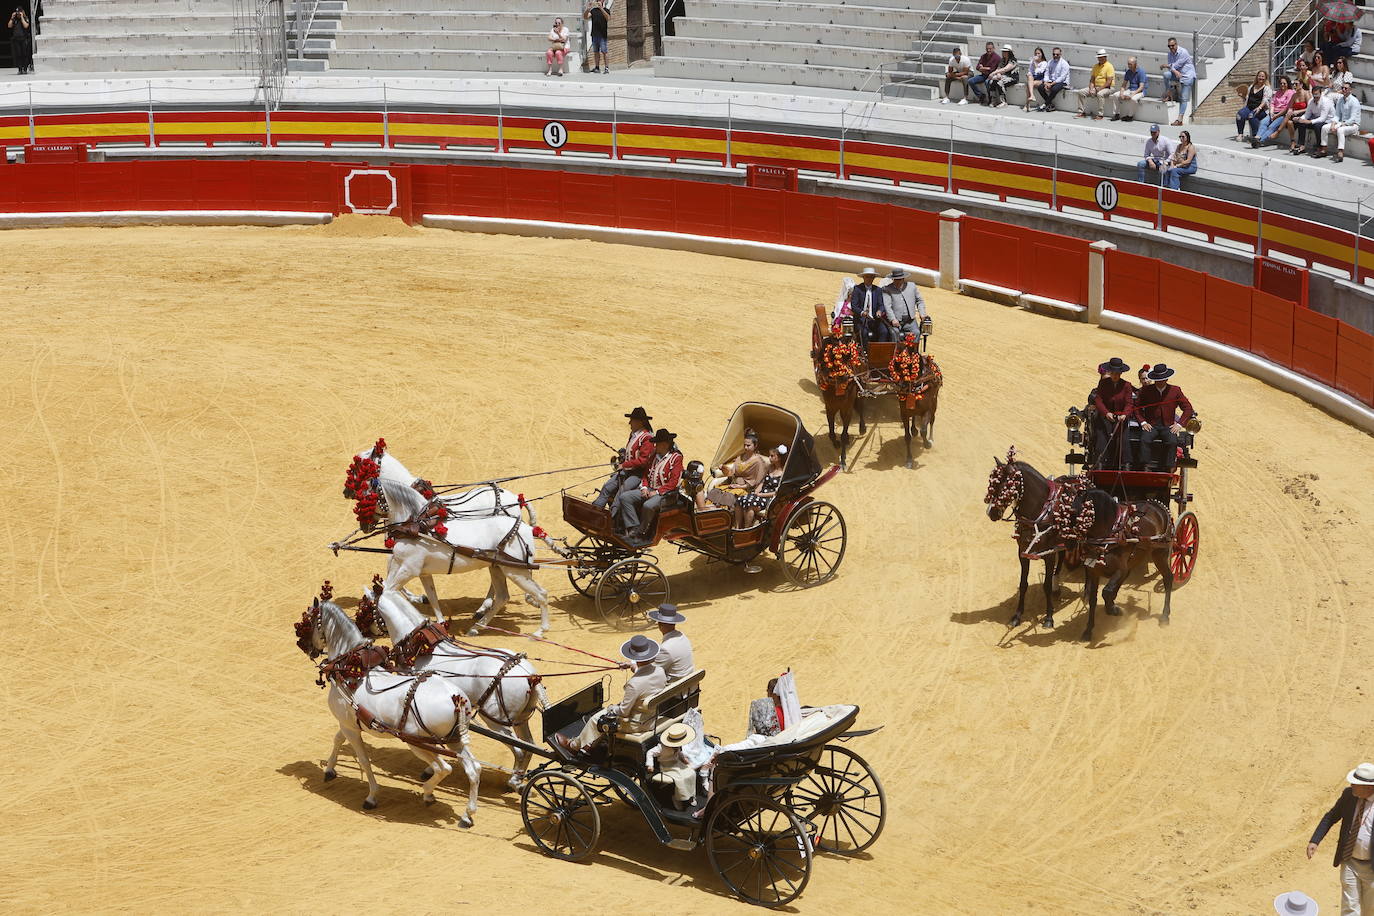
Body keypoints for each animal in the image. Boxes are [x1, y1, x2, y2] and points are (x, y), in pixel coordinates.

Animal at [295, 598, 483, 829]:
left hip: (418, 743)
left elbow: (363, 760)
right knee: (474, 769)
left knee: (444, 768)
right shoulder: (347, 724)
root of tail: (454, 696)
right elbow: (338, 739)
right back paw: (467, 814)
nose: (305, 647)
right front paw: (329, 770)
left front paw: (372, 796)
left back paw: (428, 793)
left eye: (308, 620)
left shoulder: (350, 727)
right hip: (455, 741)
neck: (350, 669)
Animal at [368, 587, 549, 791]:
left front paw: (430, 770)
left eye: (364, 606)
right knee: (528, 746)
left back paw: (513, 781)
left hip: (496, 720)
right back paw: (518, 781)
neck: (420, 646)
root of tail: (530, 676)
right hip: (519, 719)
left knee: (519, 750)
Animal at [376, 480, 552, 637]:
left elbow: (389, 593)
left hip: (515, 571)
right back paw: (476, 626)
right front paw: (439, 623)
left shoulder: (408, 569)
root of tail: (526, 528)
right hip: (497, 568)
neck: (416, 527)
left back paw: (540, 630)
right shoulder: (417, 570)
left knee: (541, 593)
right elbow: (431, 597)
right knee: (502, 597)